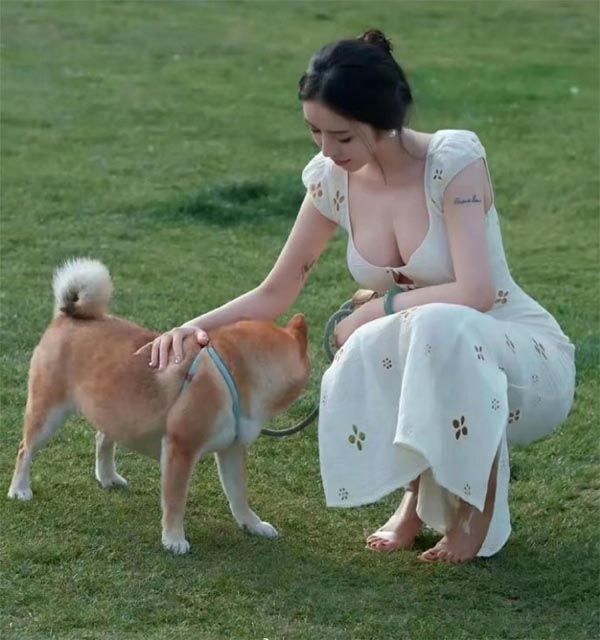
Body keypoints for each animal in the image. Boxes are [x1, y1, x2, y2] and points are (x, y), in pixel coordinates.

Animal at [8, 258, 311, 554]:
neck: (235, 373)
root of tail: (67, 316)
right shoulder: (181, 448)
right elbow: (175, 500)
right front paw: (174, 539)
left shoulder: (232, 450)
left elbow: (239, 495)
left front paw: (253, 524)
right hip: (47, 412)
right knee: (25, 449)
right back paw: (20, 489)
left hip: (117, 410)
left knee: (102, 438)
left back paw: (108, 477)